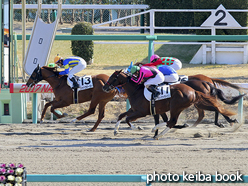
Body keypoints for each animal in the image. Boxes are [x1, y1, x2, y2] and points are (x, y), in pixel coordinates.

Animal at [102, 70, 236, 140]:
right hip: (194, 103)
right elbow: (121, 116)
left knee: (172, 121)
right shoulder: (136, 109)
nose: (104, 87)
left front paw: (139, 128)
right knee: (213, 108)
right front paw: (115, 131)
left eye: (113, 77)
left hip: (176, 107)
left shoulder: (141, 112)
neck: (136, 90)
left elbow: (128, 119)